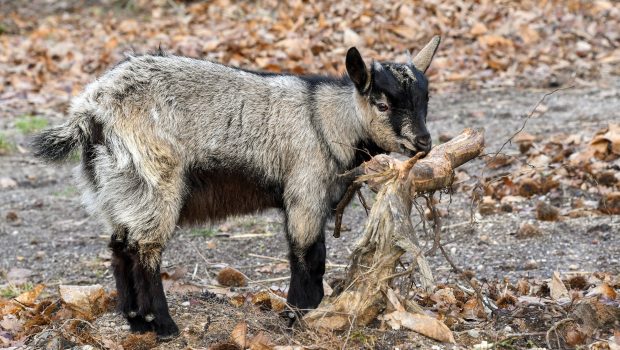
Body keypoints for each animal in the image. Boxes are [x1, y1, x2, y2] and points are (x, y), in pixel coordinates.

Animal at [32, 36, 440, 340]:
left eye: (425, 100)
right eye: (382, 104)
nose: (423, 142)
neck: (326, 120)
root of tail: (91, 110)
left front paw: (304, 313)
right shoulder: (305, 191)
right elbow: (310, 257)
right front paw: (299, 315)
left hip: (117, 186)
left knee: (120, 248)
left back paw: (135, 321)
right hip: (154, 180)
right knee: (144, 250)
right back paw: (162, 326)